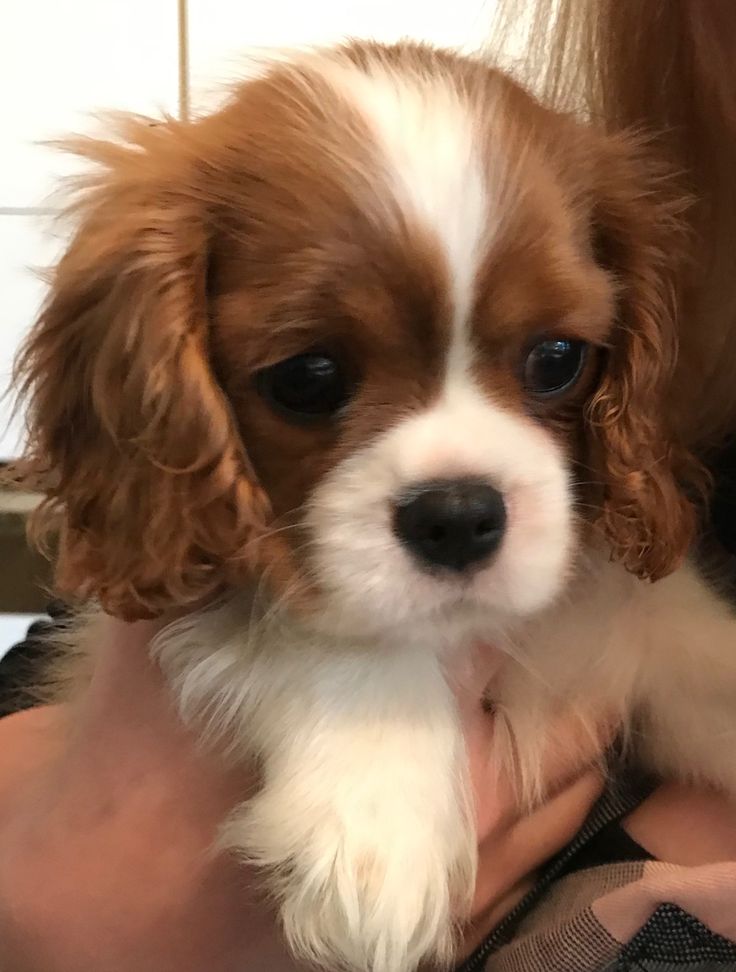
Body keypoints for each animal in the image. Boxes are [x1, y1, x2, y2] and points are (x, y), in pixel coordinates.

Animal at [12, 43, 736, 972]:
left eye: (557, 359)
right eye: (308, 378)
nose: (458, 514)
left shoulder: (635, 629)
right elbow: (321, 623)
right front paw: (378, 832)